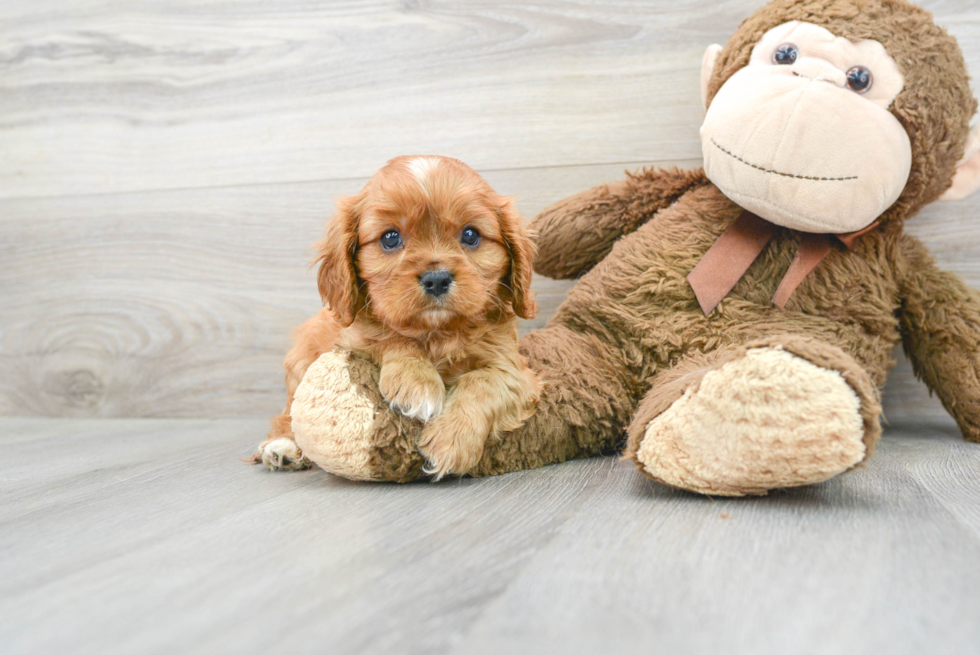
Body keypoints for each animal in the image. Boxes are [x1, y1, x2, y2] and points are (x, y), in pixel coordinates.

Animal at [253, 156, 540, 480]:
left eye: (471, 235)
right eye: (390, 238)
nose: (437, 279)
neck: (436, 333)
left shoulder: (515, 371)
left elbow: (483, 382)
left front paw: (451, 440)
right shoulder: (353, 342)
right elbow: (391, 337)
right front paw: (418, 382)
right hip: (301, 364)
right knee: (287, 413)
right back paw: (283, 447)